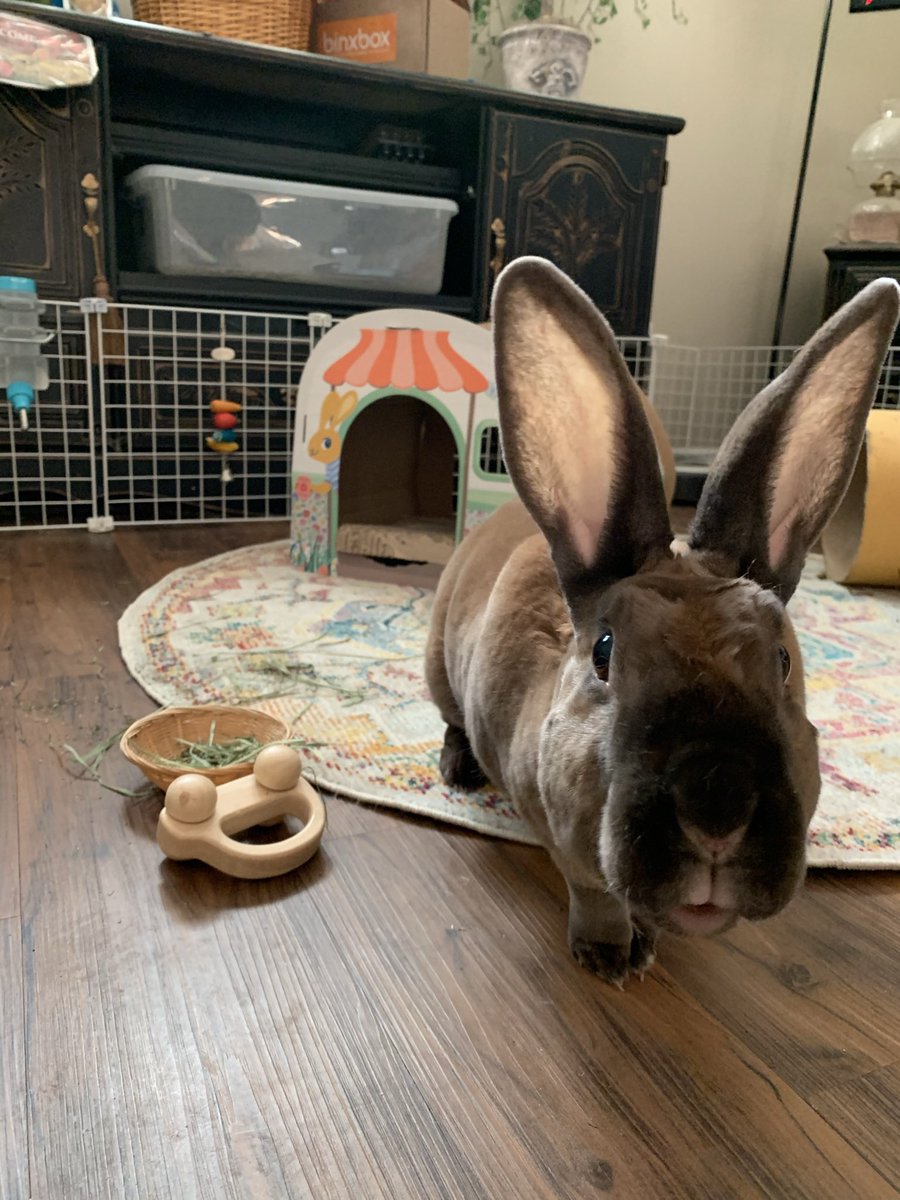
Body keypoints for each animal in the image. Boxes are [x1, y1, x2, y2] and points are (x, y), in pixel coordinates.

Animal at [425, 256, 899, 986]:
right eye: (604, 653)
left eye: (784, 661)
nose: (719, 806)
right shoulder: (570, 844)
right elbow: (594, 890)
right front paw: (612, 956)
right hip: (436, 666)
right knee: (449, 720)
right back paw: (459, 769)